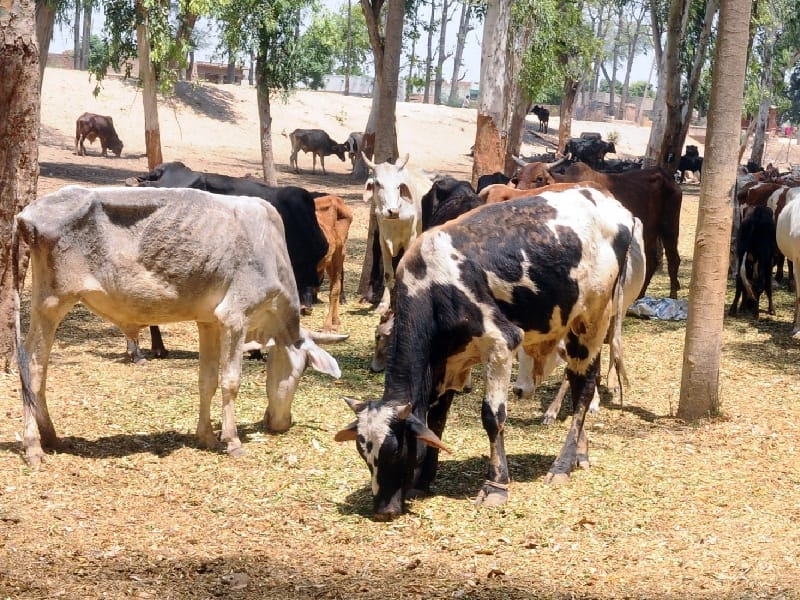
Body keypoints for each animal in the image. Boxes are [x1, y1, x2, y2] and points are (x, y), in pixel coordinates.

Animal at [13, 186, 345, 466]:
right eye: (300, 372)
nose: (282, 424)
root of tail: (26, 214)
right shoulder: (235, 316)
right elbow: (230, 380)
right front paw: (232, 440)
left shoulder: (208, 322)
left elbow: (207, 379)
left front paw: (207, 436)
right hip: (52, 303)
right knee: (33, 363)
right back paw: (34, 445)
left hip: (45, 303)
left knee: (34, 362)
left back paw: (52, 436)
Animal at [335, 187, 636, 520]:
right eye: (364, 454)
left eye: (395, 450)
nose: (383, 510)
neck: (432, 286)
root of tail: (610, 202)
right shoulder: (445, 362)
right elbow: (435, 419)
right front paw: (423, 480)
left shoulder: (501, 343)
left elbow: (492, 417)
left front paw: (496, 485)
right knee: (577, 382)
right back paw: (579, 455)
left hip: (592, 321)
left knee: (584, 387)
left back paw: (561, 465)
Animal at [363, 153, 432, 314]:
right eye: (378, 183)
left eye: (399, 185)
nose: (392, 211)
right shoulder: (383, 240)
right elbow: (388, 273)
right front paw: (383, 304)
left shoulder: (410, 239)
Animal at [515, 160, 682, 299]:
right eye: (519, 177)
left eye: (539, 178)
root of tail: (666, 176)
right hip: (649, 234)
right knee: (652, 260)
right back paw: (639, 296)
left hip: (669, 226)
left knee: (673, 258)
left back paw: (673, 295)